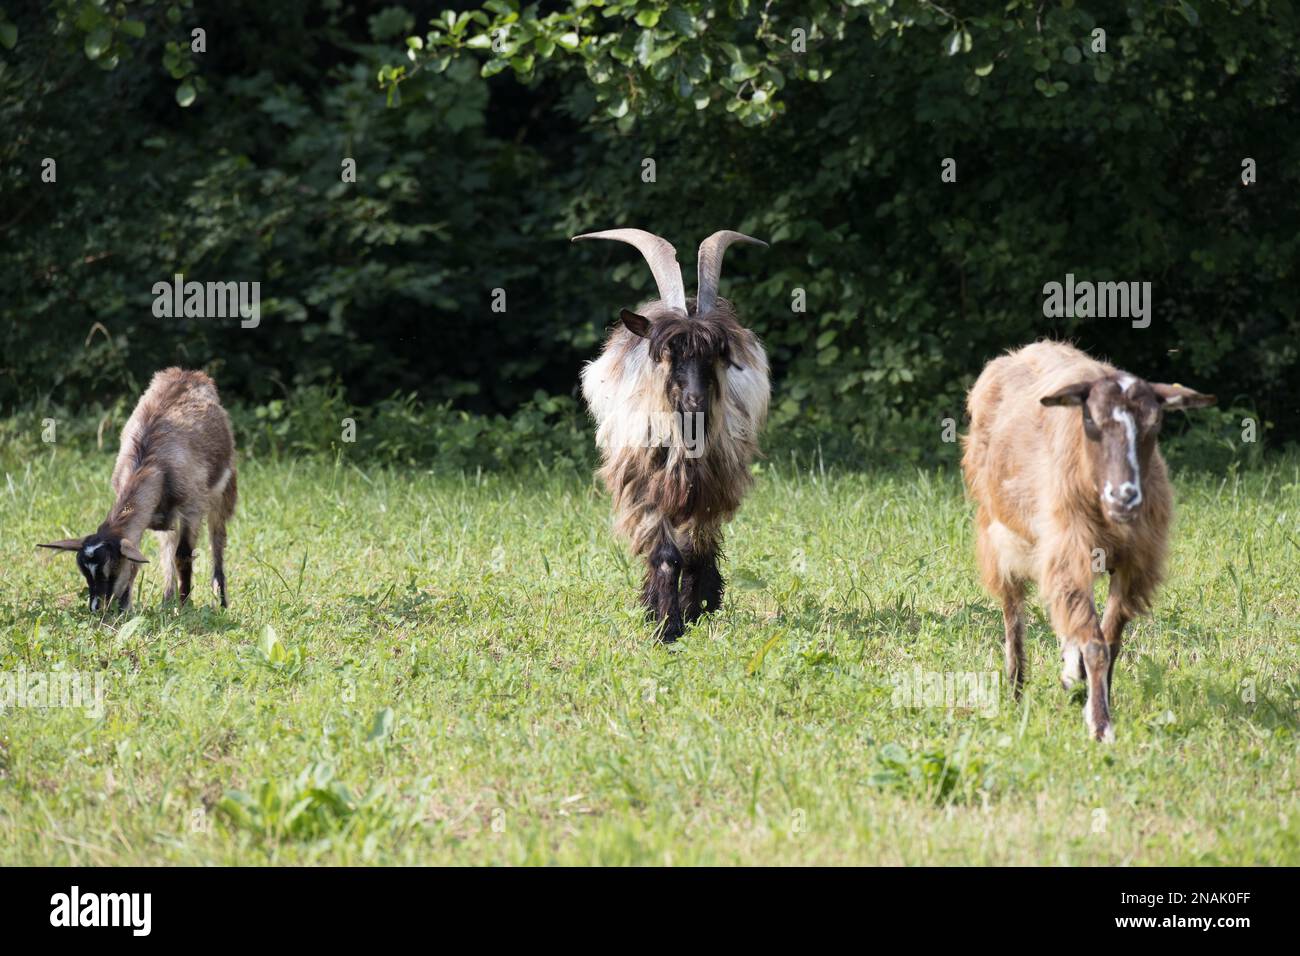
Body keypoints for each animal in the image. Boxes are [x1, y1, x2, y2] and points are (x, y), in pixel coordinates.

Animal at [39, 369, 239, 613]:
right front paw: (127, 608)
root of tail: (189, 373)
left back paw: (220, 600)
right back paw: (167, 599)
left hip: (223, 492)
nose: (96, 607)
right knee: (167, 548)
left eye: (111, 570)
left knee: (216, 539)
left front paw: (183, 608)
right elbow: (141, 561)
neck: (151, 466)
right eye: (85, 573)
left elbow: (183, 555)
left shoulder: (192, 507)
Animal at [574, 227, 764, 639]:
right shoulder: (643, 483)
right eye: (668, 353)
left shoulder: (712, 485)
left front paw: (695, 608)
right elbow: (664, 554)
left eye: (716, 354)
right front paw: (665, 625)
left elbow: (694, 550)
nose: (696, 400)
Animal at [961, 340, 1211, 743]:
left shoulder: (1131, 564)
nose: (1123, 497)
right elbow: (1094, 643)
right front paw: (1100, 724)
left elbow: (1109, 640)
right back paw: (1016, 689)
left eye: (1155, 424)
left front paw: (1093, 696)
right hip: (997, 531)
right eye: (1091, 420)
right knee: (1013, 612)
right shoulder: (1068, 548)